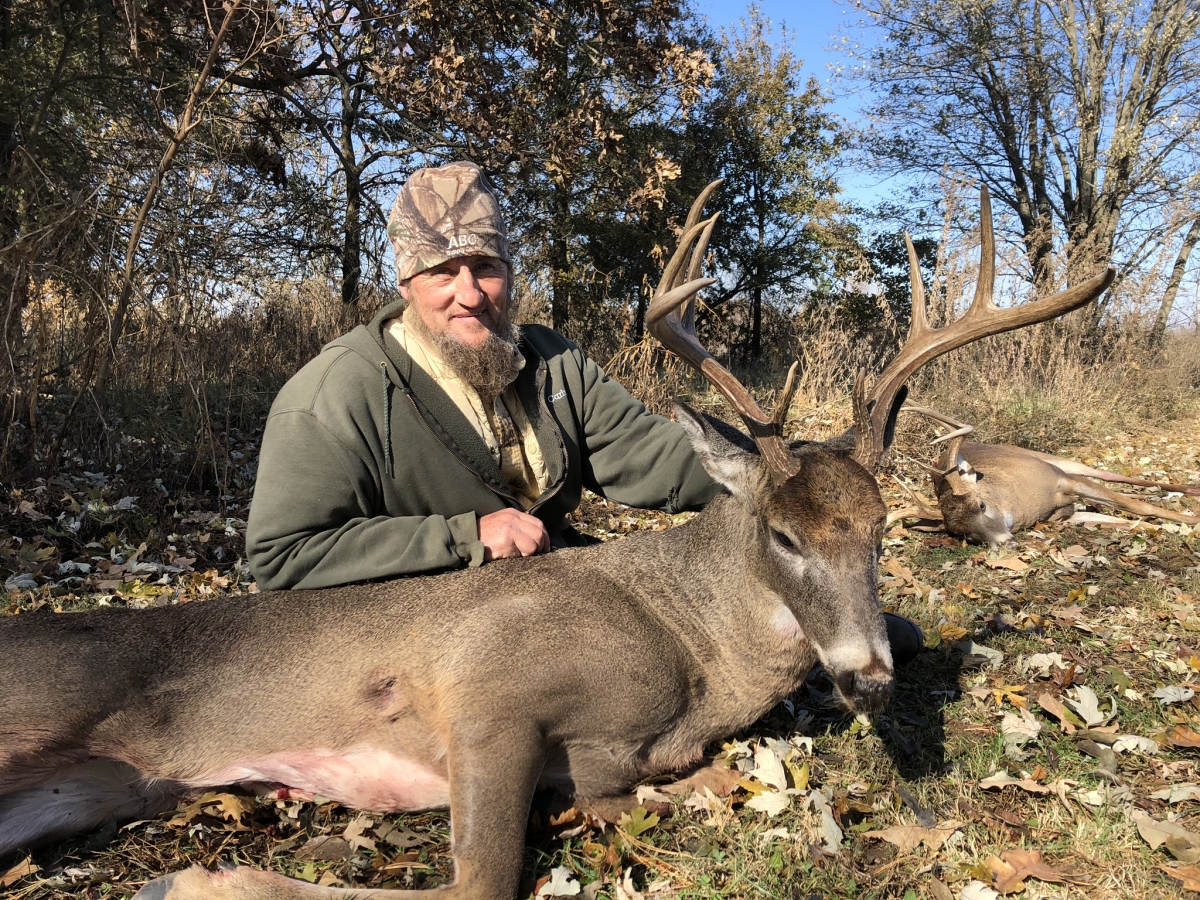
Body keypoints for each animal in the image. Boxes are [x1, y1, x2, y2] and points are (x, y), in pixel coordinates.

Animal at [0, 182, 1115, 900]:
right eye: (783, 533)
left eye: (881, 531)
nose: (870, 677)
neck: (691, 658)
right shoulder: (491, 691)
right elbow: (480, 884)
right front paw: (201, 880)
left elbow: (678, 793)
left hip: (79, 785)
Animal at [893, 406, 1200, 546]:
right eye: (964, 534)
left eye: (980, 505)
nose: (1005, 542)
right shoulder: (1063, 516)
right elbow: (1122, 519)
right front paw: (1157, 527)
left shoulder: (1062, 479)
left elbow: (1138, 507)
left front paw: (1192, 521)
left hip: (1058, 462)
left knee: (1110, 475)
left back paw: (1189, 490)